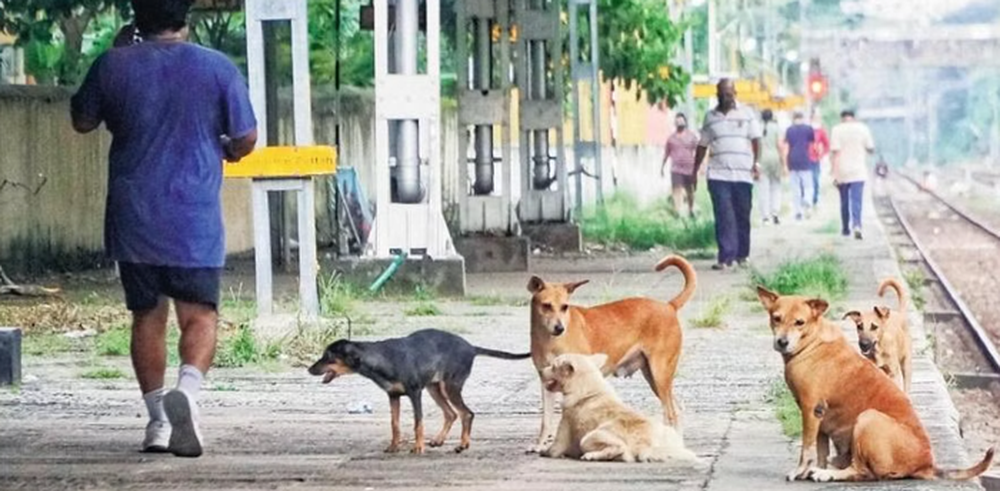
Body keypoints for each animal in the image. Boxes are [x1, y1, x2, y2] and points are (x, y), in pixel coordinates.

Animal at [308, 328, 532, 456]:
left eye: (328, 356)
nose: (309, 369)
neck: (383, 359)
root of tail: (471, 347)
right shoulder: (393, 396)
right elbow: (395, 424)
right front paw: (394, 447)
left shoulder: (415, 393)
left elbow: (418, 423)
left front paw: (418, 447)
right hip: (435, 388)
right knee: (451, 414)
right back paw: (440, 440)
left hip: (450, 387)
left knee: (466, 413)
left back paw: (462, 445)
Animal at [524, 258, 696, 454]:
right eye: (546, 306)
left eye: (565, 307)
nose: (560, 328)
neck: (550, 340)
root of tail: (669, 306)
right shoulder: (547, 382)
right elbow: (546, 420)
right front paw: (540, 445)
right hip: (654, 379)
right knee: (678, 410)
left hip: (660, 375)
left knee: (670, 413)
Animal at [540, 354, 696, 466]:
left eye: (553, 367)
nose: (540, 371)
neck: (588, 389)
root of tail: (646, 444)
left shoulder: (563, 431)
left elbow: (552, 450)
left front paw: (542, 449)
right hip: (670, 434)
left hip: (589, 437)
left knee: (619, 448)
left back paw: (591, 455)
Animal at [756, 286, 992, 482]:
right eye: (776, 318)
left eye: (799, 322)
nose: (782, 342)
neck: (811, 342)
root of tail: (927, 464)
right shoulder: (819, 416)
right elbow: (820, 449)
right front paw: (809, 470)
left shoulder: (810, 409)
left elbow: (806, 448)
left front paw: (800, 471)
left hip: (867, 419)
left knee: (862, 471)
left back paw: (828, 474)